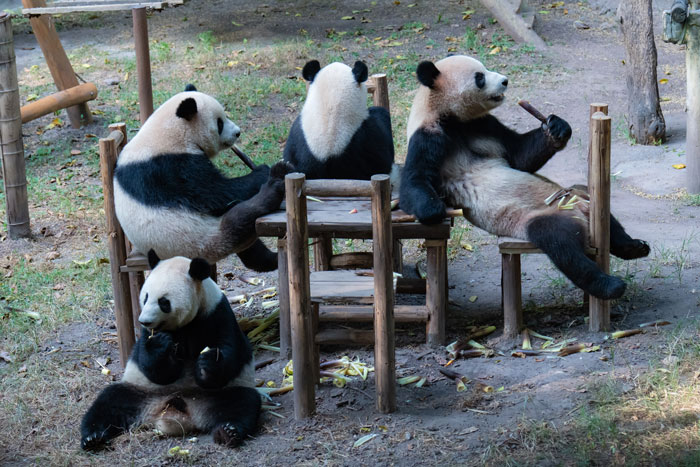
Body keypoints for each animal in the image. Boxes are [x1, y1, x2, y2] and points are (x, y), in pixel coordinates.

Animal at [80, 250, 260, 452]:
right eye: (145, 297)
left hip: (219, 394)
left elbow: (230, 353)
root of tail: (173, 413)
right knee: (109, 402)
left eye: (164, 302)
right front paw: (161, 344)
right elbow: (155, 368)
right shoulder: (145, 335)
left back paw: (227, 432)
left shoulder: (217, 315)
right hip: (141, 392)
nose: (144, 321)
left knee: (241, 403)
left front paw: (207, 363)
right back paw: (93, 437)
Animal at [113, 85, 292, 270]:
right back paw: (273, 184)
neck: (168, 132)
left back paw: (271, 259)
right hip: (200, 237)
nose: (237, 133)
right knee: (242, 216)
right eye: (219, 123)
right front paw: (262, 171)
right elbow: (214, 192)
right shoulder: (167, 167)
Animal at [400, 55, 652, 300]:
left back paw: (633, 247)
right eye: (480, 77)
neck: (448, 115)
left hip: (580, 195)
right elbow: (414, 179)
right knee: (562, 245)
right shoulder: (429, 135)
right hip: (537, 218)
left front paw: (556, 127)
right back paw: (611, 285)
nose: (505, 81)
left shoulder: (482, 125)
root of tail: (580, 213)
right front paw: (435, 210)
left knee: (603, 214)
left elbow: (519, 156)